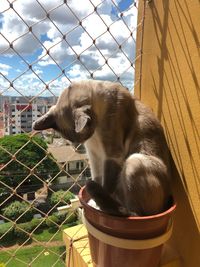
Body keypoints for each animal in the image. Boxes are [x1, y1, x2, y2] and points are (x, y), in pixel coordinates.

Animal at [32, 79, 172, 218]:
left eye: (83, 134)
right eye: (72, 139)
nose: (80, 143)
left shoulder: (112, 155)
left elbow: (106, 186)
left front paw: (97, 206)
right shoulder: (94, 154)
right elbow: (98, 178)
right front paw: (94, 203)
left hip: (135, 161)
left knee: (135, 213)